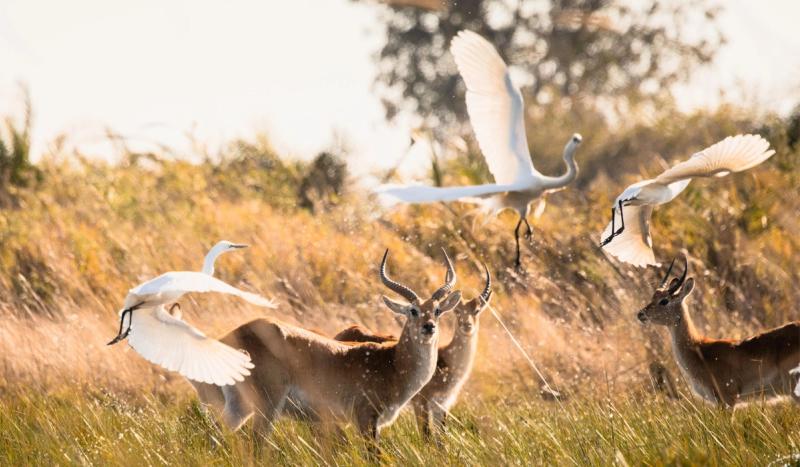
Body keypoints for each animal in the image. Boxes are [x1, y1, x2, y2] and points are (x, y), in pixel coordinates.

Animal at [191, 248, 462, 447]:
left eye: (437, 310)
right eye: (413, 310)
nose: (429, 327)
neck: (392, 364)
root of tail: (230, 337)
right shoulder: (366, 420)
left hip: (238, 406)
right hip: (262, 406)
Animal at [333, 263, 492, 437]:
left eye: (477, 310)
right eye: (457, 312)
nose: (429, 326)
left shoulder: (442, 406)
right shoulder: (421, 403)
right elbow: (426, 434)